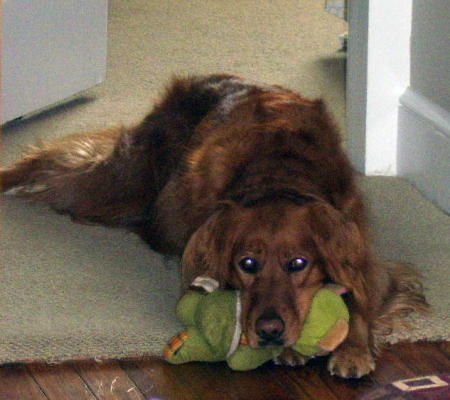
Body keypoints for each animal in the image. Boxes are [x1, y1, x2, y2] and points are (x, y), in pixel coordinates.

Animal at [0, 75, 428, 378]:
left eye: (299, 264)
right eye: (247, 264)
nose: (269, 331)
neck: (279, 170)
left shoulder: (365, 252)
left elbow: (359, 298)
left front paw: (353, 348)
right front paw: (295, 348)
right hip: (122, 184)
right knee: (53, 162)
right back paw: (10, 176)